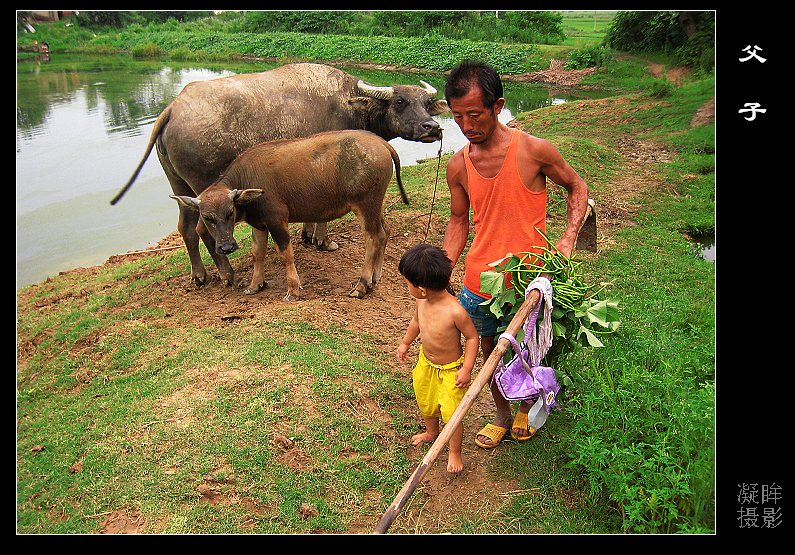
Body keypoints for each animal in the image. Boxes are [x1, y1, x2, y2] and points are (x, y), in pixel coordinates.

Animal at [168, 131, 404, 302]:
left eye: (230, 212)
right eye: (207, 217)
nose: (227, 247)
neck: (248, 180)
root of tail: (381, 143)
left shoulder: (277, 220)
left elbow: (286, 253)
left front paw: (293, 290)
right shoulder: (259, 225)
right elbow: (257, 253)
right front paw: (255, 285)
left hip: (366, 205)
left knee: (372, 238)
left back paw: (362, 285)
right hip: (376, 206)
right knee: (384, 232)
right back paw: (375, 277)